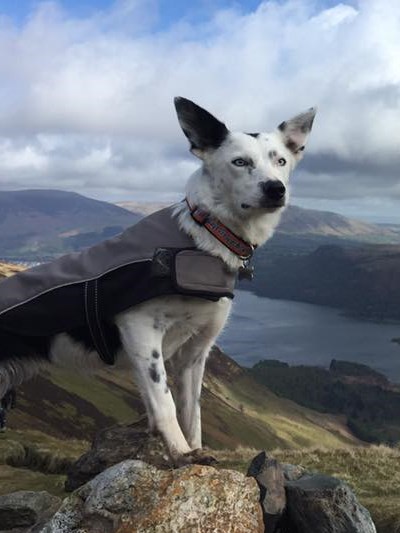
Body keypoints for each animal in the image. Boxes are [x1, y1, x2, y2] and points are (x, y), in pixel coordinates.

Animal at [0, 97, 316, 464]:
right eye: (240, 162)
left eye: (281, 161)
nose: (276, 189)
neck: (204, 233)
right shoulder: (140, 332)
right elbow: (164, 403)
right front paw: (180, 453)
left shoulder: (195, 353)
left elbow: (192, 413)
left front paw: (193, 450)